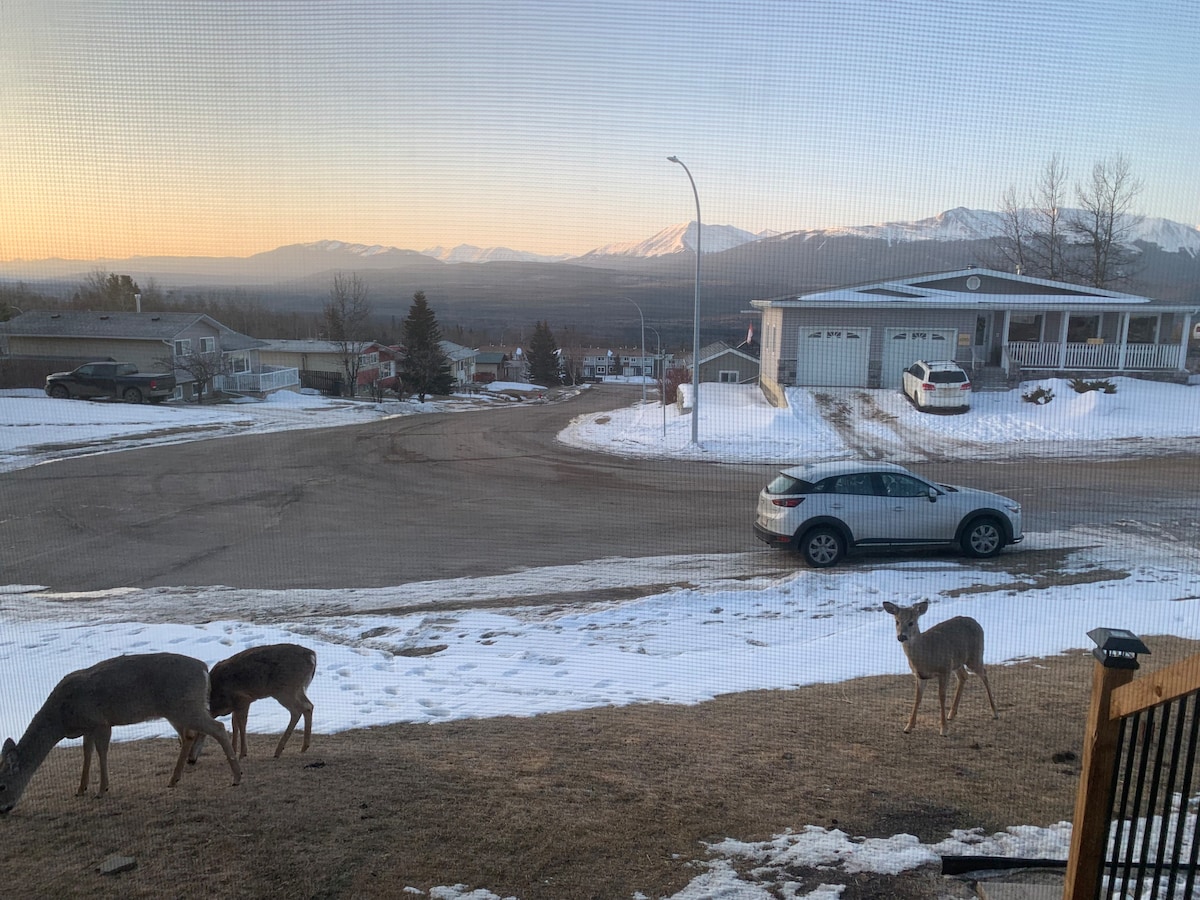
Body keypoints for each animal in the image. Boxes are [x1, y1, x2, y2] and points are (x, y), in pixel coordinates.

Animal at [0, 652, 241, 816]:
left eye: (1, 785)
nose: (3, 809)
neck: (62, 718)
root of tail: (203, 668)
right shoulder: (88, 727)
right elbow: (86, 753)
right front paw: (81, 788)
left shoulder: (100, 721)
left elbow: (101, 751)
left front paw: (101, 790)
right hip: (177, 710)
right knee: (190, 735)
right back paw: (174, 779)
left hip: (184, 706)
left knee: (217, 728)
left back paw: (236, 777)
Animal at [188, 643, 316, 763]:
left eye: (194, 734)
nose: (190, 760)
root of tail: (312, 656)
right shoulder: (235, 706)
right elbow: (234, 723)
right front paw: (233, 751)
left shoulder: (243, 699)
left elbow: (242, 723)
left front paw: (242, 754)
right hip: (298, 689)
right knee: (309, 705)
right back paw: (303, 747)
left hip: (285, 689)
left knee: (299, 709)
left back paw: (279, 751)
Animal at [878, 602, 998, 734]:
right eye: (897, 621)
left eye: (911, 622)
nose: (901, 636)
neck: (925, 655)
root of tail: (976, 623)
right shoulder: (920, 675)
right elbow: (917, 698)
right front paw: (908, 726)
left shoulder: (944, 669)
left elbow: (942, 696)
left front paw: (944, 729)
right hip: (957, 662)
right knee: (963, 676)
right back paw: (951, 713)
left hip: (975, 655)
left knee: (984, 674)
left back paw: (995, 712)